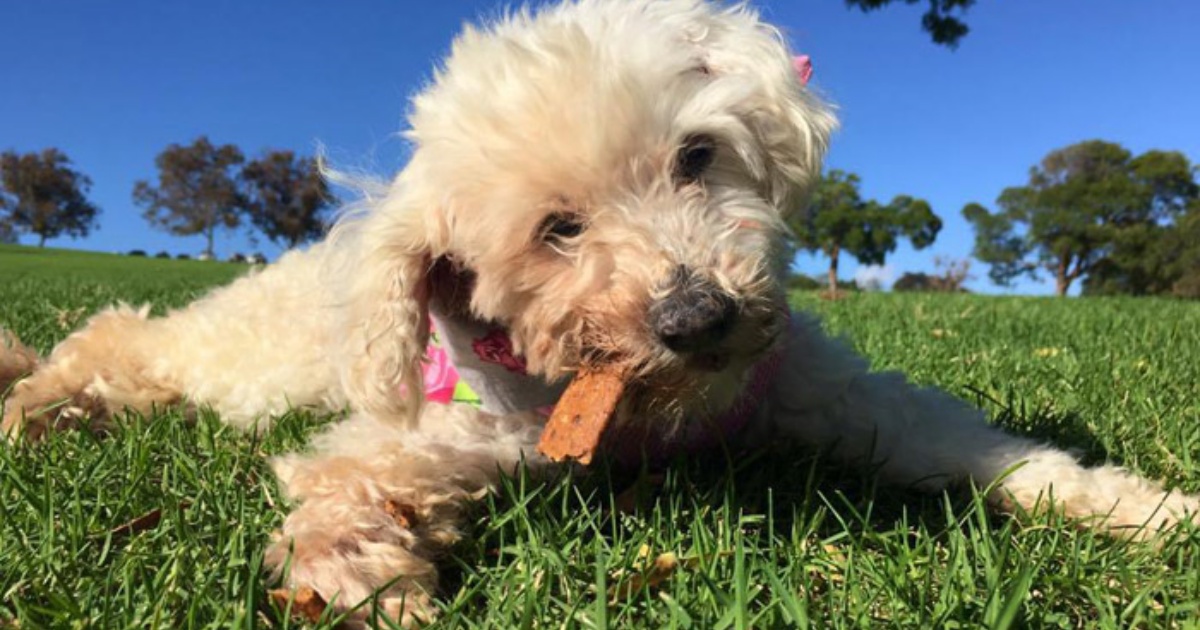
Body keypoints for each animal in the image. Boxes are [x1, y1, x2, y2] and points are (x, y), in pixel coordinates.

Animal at [0, 0, 1195, 619]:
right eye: (558, 229)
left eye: (697, 156)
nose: (701, 321)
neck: (646, 410)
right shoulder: (416, 437)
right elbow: (343, 489)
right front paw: (365, 583)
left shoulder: (829, 395)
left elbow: (989, 451)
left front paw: (1146, 511)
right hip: (225, 359)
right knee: (113, 340)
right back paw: (39, 408)